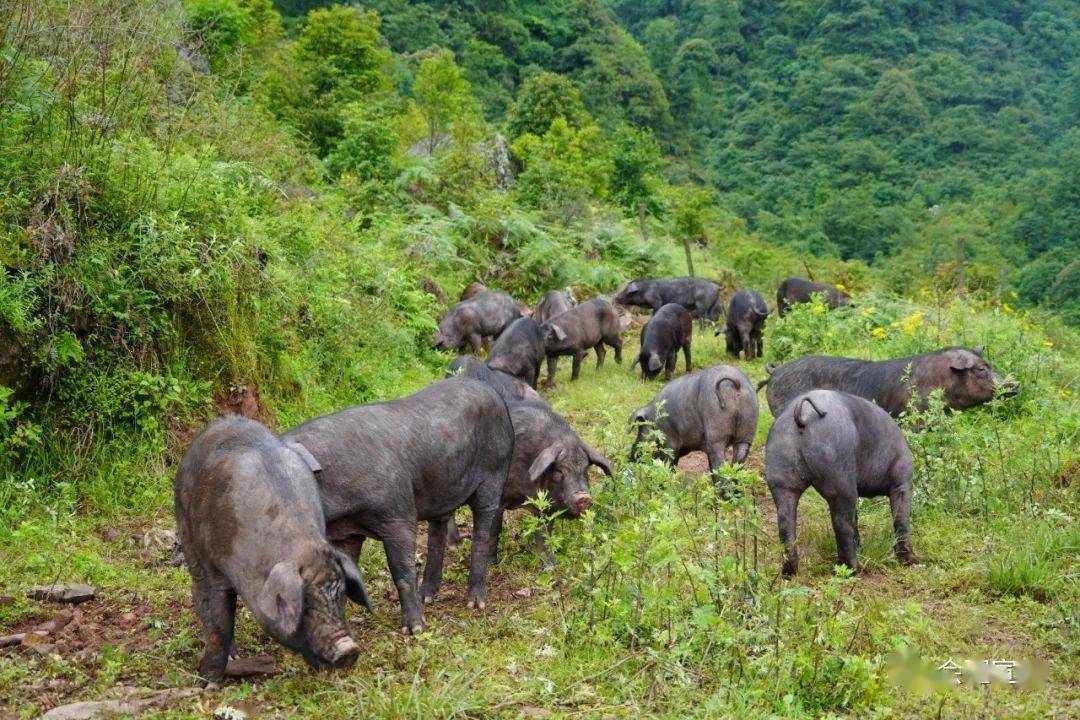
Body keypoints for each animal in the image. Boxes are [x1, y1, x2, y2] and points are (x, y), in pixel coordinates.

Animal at [172, 416, 367, 686]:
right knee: (198, 590)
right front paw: (209, 684)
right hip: (185, 525)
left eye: (340, 594)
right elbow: (221, 625)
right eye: (305, 603)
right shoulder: (218, 570)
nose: (349, 648)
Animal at [278, 379, 514, 634]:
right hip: (441, 487)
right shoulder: (345, 533)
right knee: (437, 532)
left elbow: (402, 571)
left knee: (483, 527)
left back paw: (474, 604)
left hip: (495, 471)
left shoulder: (398, 513)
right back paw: (427, 598)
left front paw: (415, 630)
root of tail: (492, 392)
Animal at [764, 390, 915, 578]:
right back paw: (854, 569)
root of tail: (801, 415)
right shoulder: (902, 483)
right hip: (841, 481)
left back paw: (789, 573)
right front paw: (910, 562)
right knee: (842, 525)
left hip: (781, 482)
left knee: (785, 525)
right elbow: (901, 520)